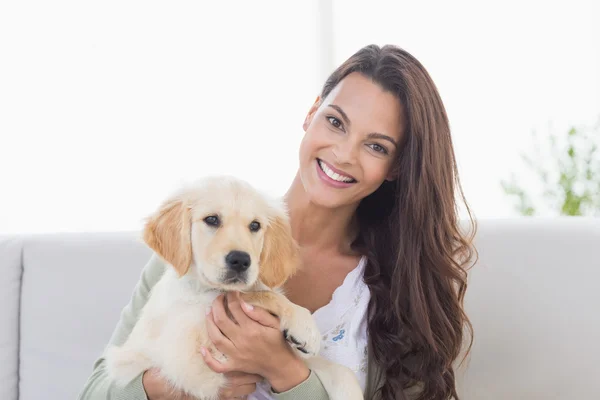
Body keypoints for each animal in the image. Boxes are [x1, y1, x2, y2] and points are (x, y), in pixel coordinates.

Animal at [105, 175, 364, 400]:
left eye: (255, 225)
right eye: (211, 219)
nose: (240, 260)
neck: (203, 289)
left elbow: (337, 369)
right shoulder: (192, 362)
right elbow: (254, 295)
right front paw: (303, 325)